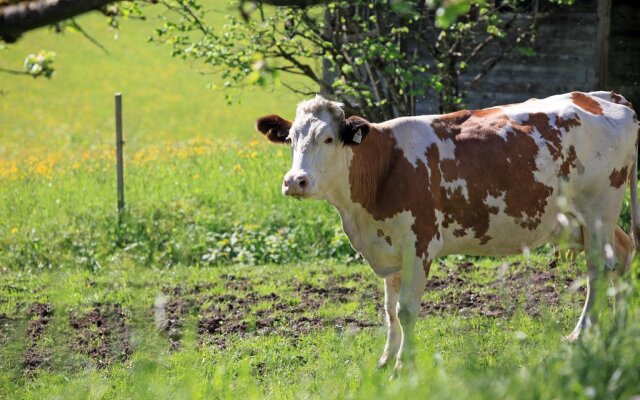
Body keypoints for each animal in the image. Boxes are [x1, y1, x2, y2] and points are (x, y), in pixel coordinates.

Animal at [256, 91, 640, 372]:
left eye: (328, 138)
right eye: (291, 139)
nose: (295, 181)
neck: (383, 168)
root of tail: (600, 96)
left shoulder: (419, 245)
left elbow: (407, 310)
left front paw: (403, 366)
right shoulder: (388, 249)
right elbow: (389, 310)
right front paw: (385, 360)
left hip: (599, 209)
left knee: (599, 269)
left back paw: (581, 334)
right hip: (584, 221)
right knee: (622, 255)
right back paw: (618, 329)